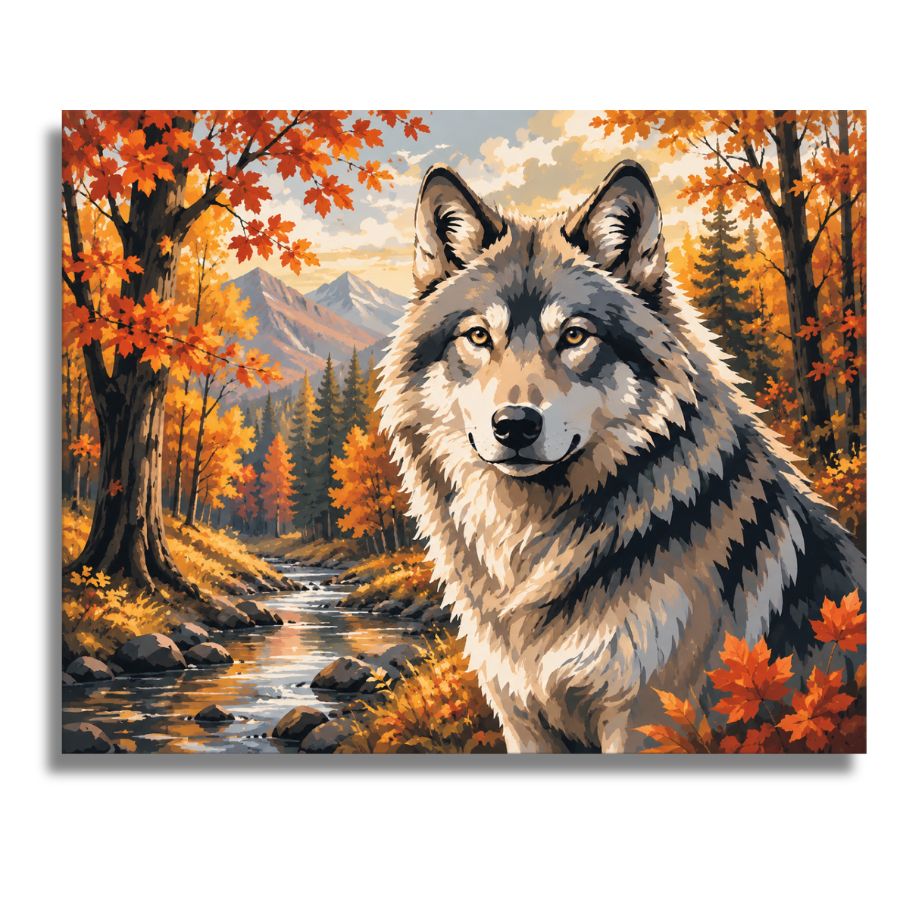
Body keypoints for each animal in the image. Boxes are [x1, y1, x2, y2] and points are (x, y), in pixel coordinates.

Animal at [378, 161, 866, 753]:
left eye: (573, 336)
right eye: (477, 335)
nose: (514, 424)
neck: (533, 549)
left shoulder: (648, 718)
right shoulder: (522, 720)